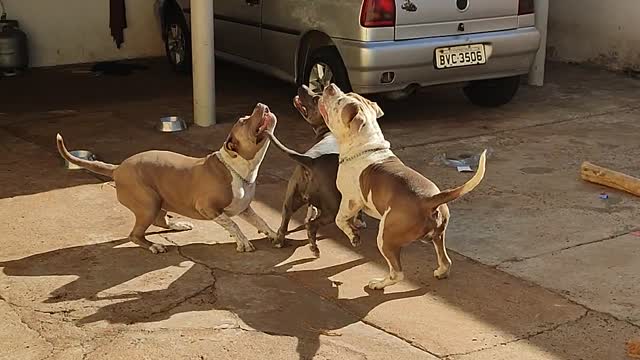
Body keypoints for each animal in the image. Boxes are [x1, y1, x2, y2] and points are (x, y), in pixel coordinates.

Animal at [57, 103, 280, 253]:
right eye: (243, 121)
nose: (260, 105)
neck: (237, 168)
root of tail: (117, 168)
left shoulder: (243, 207)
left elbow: (259, 220)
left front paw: (274, 234)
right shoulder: (207, 207)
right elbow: (233, 224)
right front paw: (243, 242)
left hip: (158, 200)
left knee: (160, 221)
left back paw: (178, 225)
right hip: (148, 202)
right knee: (136, 234)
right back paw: (154, 246)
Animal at [320, 84, 484, 290]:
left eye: (340, 101)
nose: (330, 86)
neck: (366, 146)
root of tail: (429, 200)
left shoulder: (350, 200)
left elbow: (339, 220)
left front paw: (353, 235)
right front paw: (357, 226)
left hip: (386, 237)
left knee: (397, 273)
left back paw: (379, 284)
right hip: (438, 236)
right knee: (445, 260)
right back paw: (440, 272)